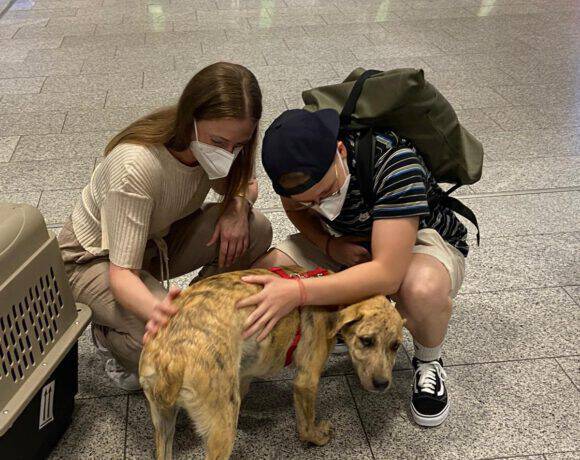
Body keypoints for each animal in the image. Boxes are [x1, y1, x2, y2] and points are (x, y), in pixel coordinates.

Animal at [139, 266, 405, 460]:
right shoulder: (306, 381)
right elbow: (306, 424)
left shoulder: (244, 373)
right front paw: (316, 437)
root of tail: (171, 358)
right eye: (366, 340)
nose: (382, 384)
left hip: (163, 421)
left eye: (395, 346)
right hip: (220, 430)